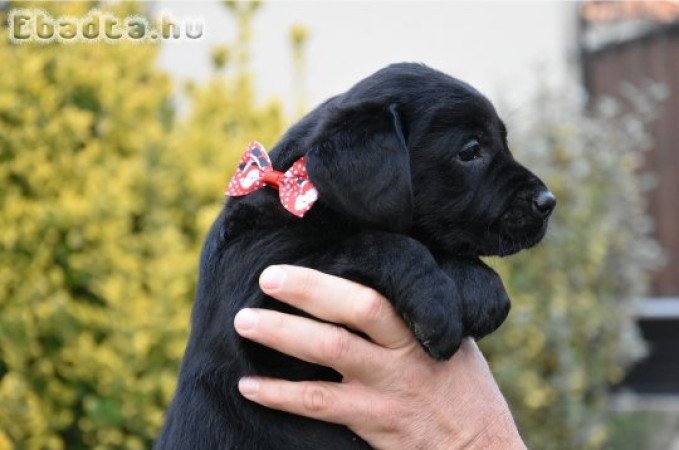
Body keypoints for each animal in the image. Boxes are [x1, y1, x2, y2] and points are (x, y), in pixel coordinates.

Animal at [157, 63, 556, 450]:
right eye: (471, 150)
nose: (548, 202)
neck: (305, 201)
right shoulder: (263, 332)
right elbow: (378, 243)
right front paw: (436, 305)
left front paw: (482, 291)